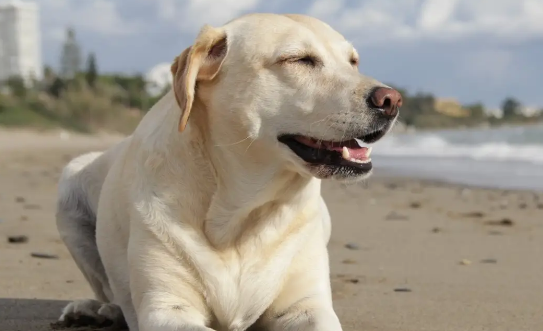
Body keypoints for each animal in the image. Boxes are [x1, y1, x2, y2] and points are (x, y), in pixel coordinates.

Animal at [56, 13, 400, 331]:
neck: (240, 216)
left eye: (353, 62)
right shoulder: (167, 308)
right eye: (299, 59)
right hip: (69, 183)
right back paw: (94, 310)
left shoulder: (307, 306)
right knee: (107, 292)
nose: (392, 100)